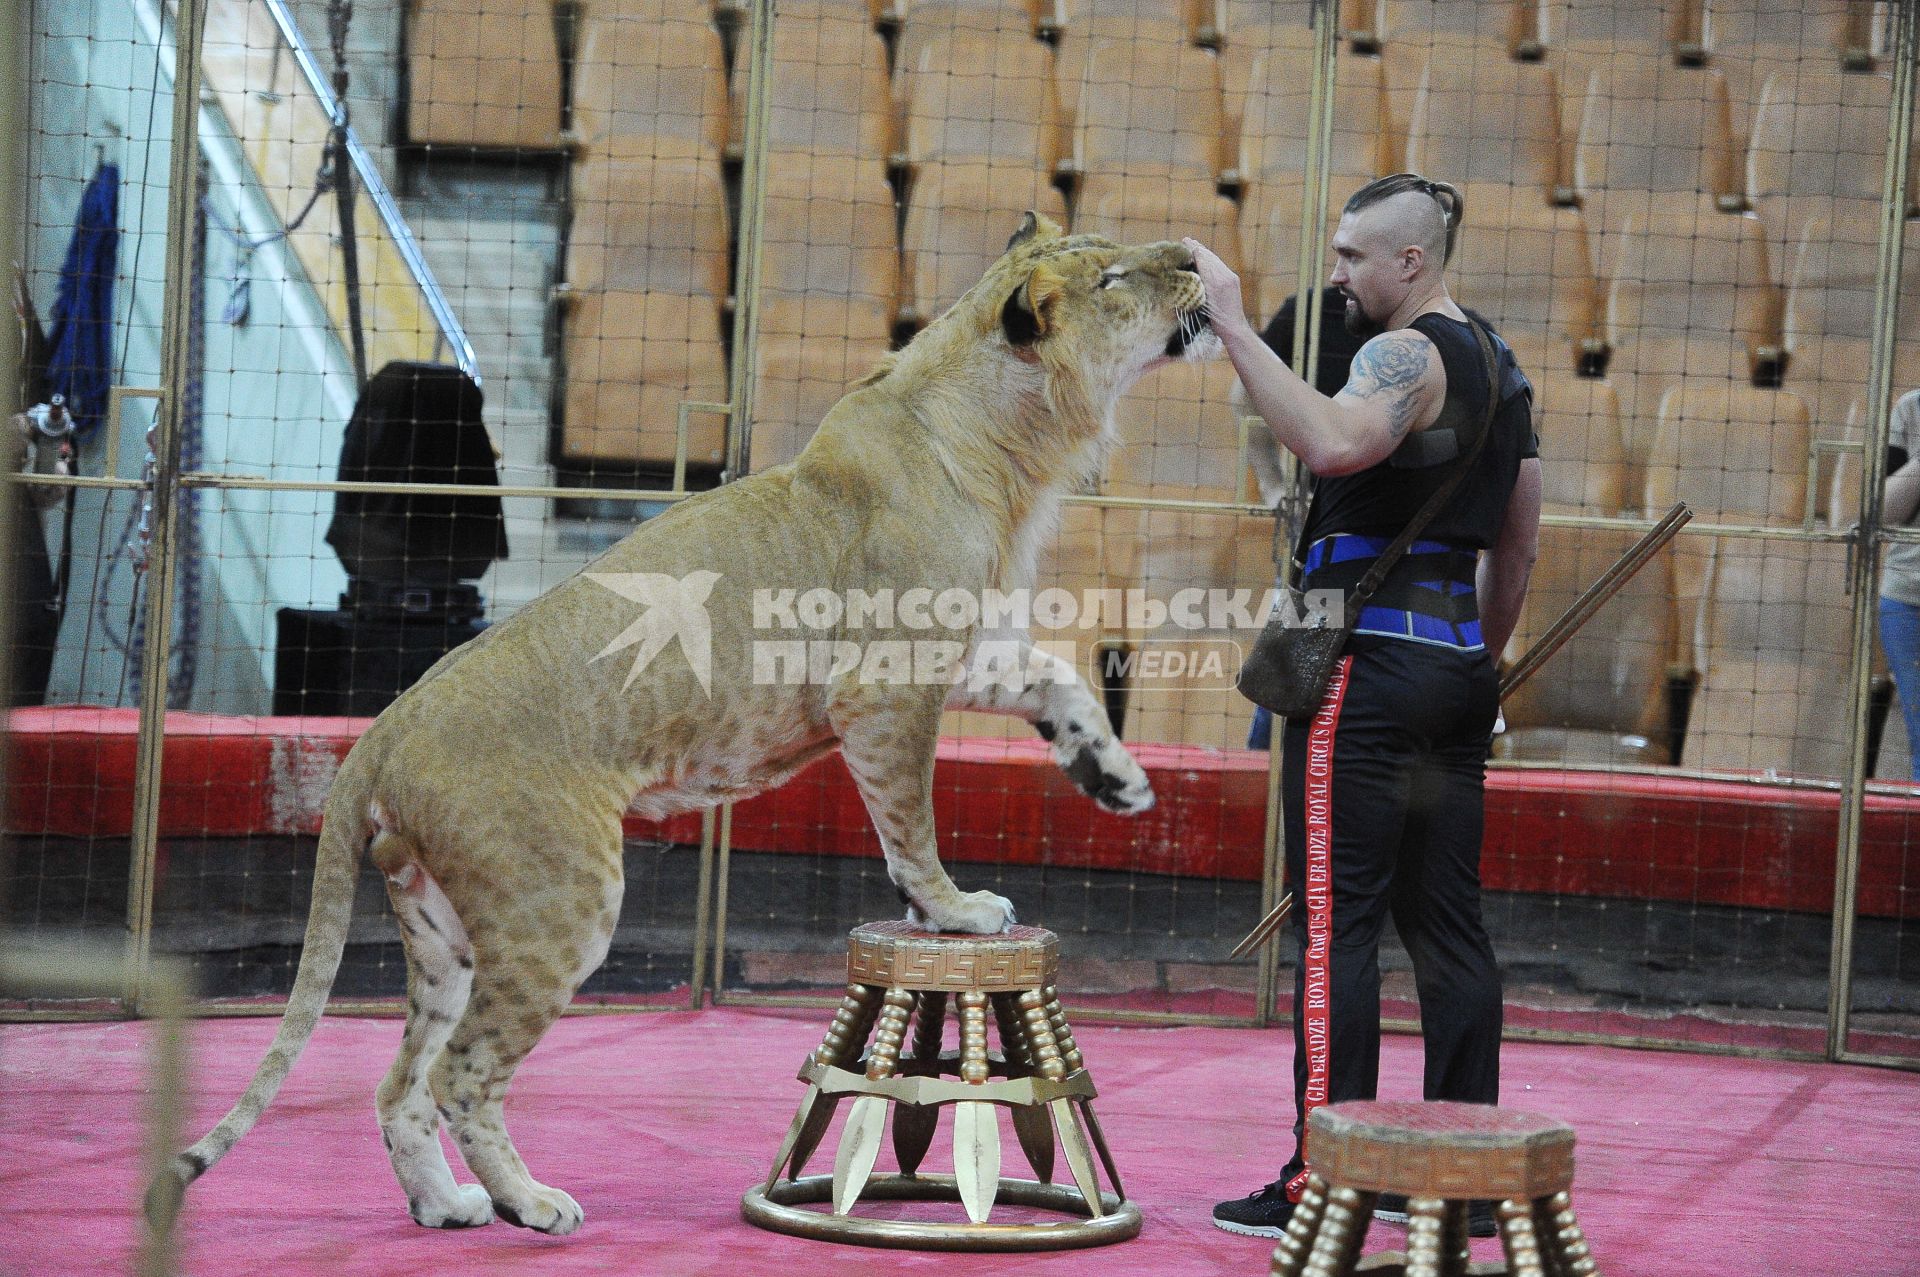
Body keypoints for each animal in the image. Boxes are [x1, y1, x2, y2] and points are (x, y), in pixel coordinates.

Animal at [149, 214, 1213, 1236]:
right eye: (1114, 277)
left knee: (399, 1083)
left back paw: (445, 1205)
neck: (1009, 433)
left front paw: (1115, 778)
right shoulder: (881, 688)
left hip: (442, 928)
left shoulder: (959, 650)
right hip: (559, 902)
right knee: (462, 1075)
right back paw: (530, 1203)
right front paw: (953, 910)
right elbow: (912, 824)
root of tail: (377, 734)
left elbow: (1059, 679)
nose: (1196, 258)